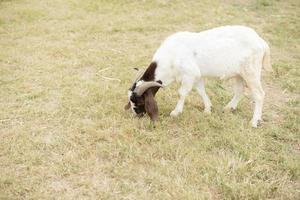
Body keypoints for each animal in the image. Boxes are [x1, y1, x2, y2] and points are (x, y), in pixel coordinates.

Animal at [124, 25, 272, 128]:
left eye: (140, 102)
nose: (137, 115)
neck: (170, 57)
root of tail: (261, 42)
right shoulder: (197, 76)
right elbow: (201, 91)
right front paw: (208, 109)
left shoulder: (189, 74)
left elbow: (182, 93)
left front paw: (175, 112)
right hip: (239, 73)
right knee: (239, 90)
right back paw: (228, 108)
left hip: (251, 72)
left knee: (259, 94)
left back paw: (254, 122)